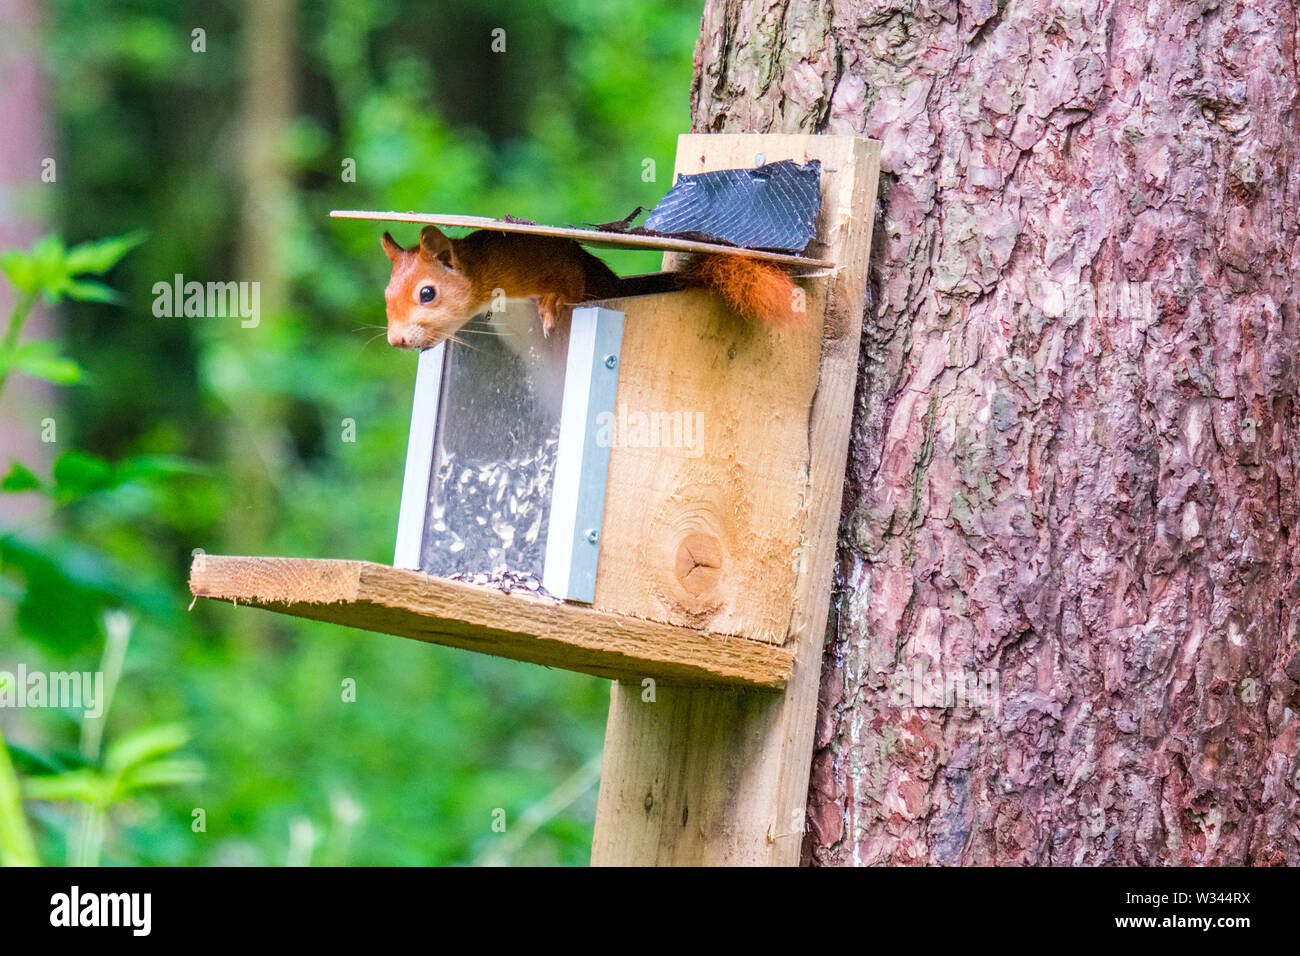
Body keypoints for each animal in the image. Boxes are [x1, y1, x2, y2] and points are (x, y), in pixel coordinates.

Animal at [379, 223, 800, 348]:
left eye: (427, 293)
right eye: (386, 296)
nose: (396, 340)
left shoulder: (545, 261)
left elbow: (567, 285)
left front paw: (551, 305)